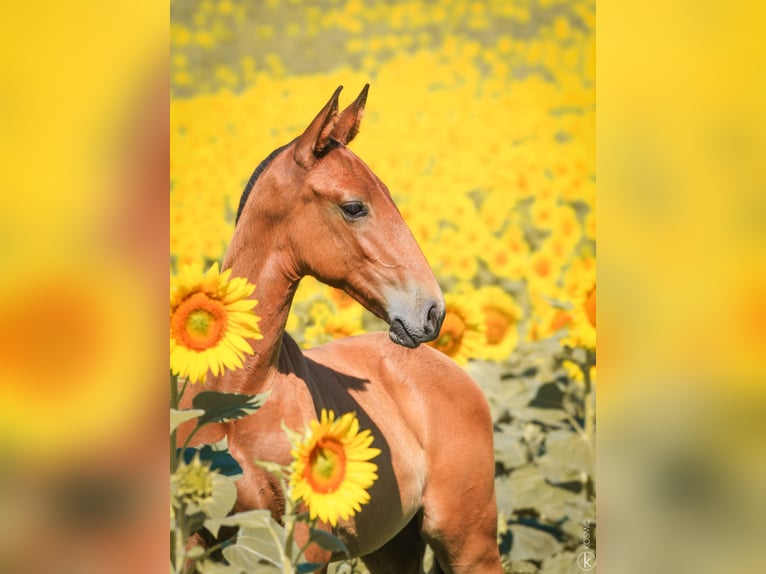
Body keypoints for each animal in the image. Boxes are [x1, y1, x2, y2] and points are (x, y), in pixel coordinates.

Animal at [179, 85, 504, 574]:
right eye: (354, 207)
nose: (432, 312)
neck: (238, 396)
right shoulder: (194, 539)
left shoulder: (305, 546)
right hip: (394, 548)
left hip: (469, 542)